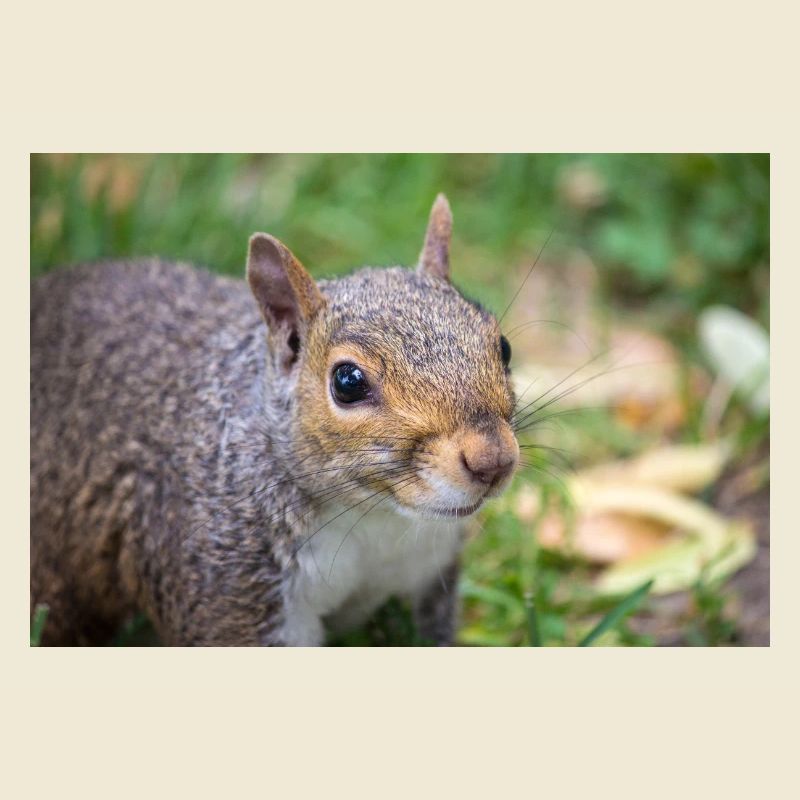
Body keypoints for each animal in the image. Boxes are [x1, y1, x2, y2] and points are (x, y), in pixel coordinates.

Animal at [30, 194, 519, 646]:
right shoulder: (231, 585)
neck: (375, 516)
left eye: (504, 347)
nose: (492, 461)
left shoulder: (427, 572)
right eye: (347, 382)